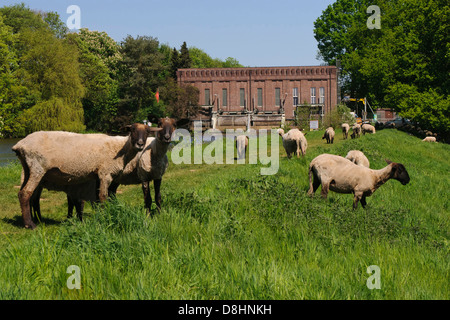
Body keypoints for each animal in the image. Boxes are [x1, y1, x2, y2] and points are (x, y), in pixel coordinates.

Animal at [12, 123, 162, 230]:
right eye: (132, 130)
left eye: (147, 131)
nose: (140, 144)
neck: (120, 149)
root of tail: (20, 145)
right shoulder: (105, 173)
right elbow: (103, 197)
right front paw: (104, 217)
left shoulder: (97, 176)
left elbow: (96, 198)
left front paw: (98, 216)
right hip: (37, 167)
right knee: (25, 193)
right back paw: (30, 225)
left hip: (27, 168)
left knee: (24, 194)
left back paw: (34, 220)